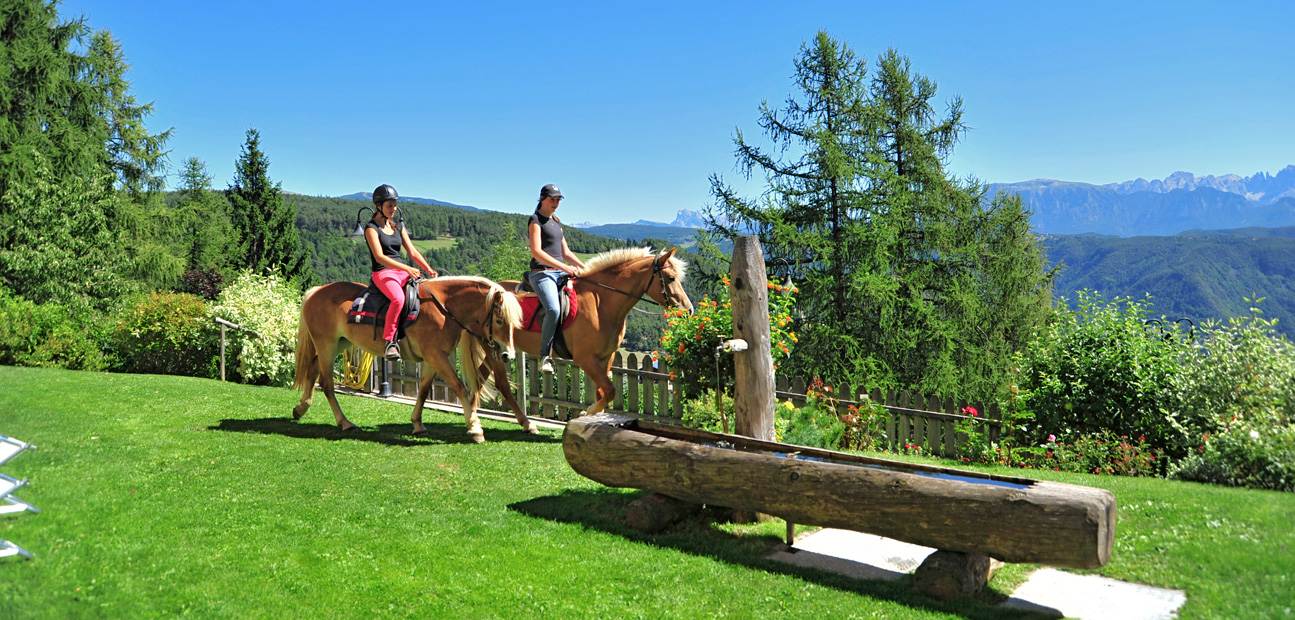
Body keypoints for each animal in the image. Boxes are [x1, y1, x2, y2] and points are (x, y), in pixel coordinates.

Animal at [293, 275, 530, 442]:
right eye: (499, 320)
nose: (508, 354)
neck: (444, 308)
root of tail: (316, 291)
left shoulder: (432, 358)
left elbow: (423, 390)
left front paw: (417, 424)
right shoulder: (436, 355)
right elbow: (459, 387)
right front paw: (474, 427)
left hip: (339, 342)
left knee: (313, 368)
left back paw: (301, 408)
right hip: (326, 343)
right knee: (326, 383)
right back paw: (344, 422)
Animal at [479, 249, 699, 419]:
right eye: (671, 278)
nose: (688, 310)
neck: (601, 302)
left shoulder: (605, 357)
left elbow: (602, 392)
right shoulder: (585, 358)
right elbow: (610, 390)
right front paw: (588, 412)